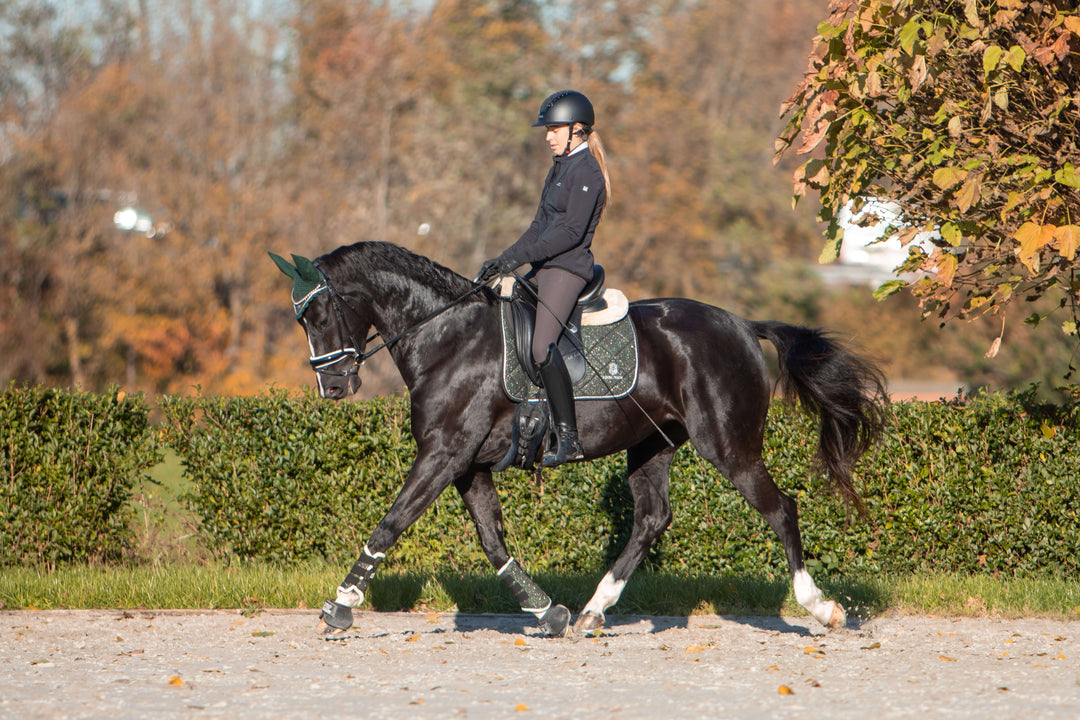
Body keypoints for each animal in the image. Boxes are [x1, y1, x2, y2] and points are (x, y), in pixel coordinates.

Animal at [270, 241, 885, 634]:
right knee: (652, 518)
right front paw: (547, 612)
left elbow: (392, 522)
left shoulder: (443, 455)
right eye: (300, 318)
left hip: (729, 446)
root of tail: (741, 324)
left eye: (319, 311)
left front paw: (340, 605)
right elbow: (492, 541)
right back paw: (592, 610)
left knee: (781, 508)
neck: (446, 336)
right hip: (652, 445)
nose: (333, 385)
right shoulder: (467, 463)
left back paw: (821, 608)